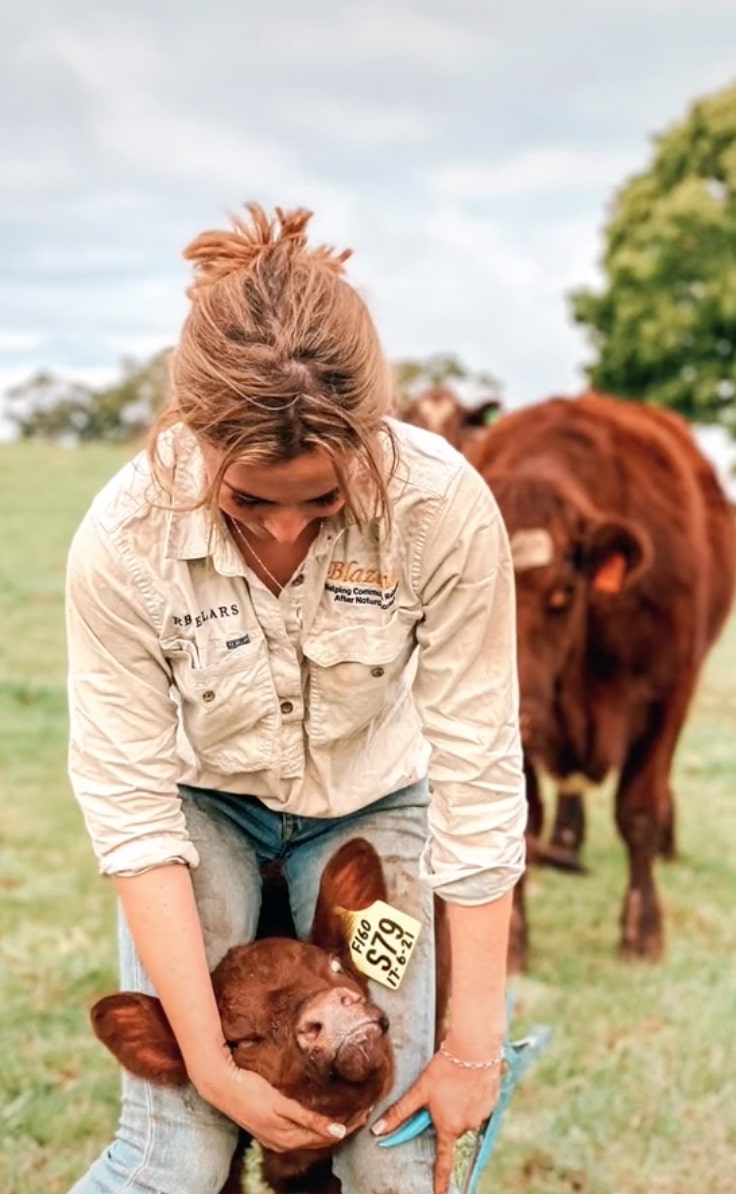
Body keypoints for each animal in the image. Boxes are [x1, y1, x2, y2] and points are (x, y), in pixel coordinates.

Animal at [465, 396, 736, 964]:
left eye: (563, 592)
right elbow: (520, 822)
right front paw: (512, 941)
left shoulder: (670, 694)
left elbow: (638, 810)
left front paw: (644, 930)